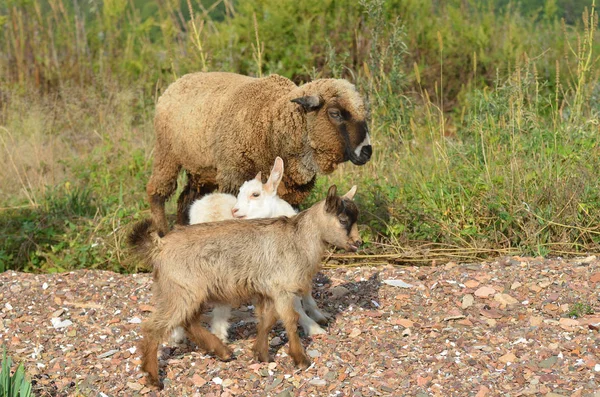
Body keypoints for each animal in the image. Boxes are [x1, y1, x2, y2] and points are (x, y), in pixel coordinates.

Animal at [146, 71, 370, 234]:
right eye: (335, 113)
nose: (367, 151)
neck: (271, 123)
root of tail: (179, 81)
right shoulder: (233, 175)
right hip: (166, 153)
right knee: (156, 191)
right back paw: (162, 231)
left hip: (201, 169)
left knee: (186, 198)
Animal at [169, 155, 328, 344]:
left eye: (255, 194)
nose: (234, 211)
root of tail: (212, 198)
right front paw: (312, 327)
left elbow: (306, 291)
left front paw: (318, 317)